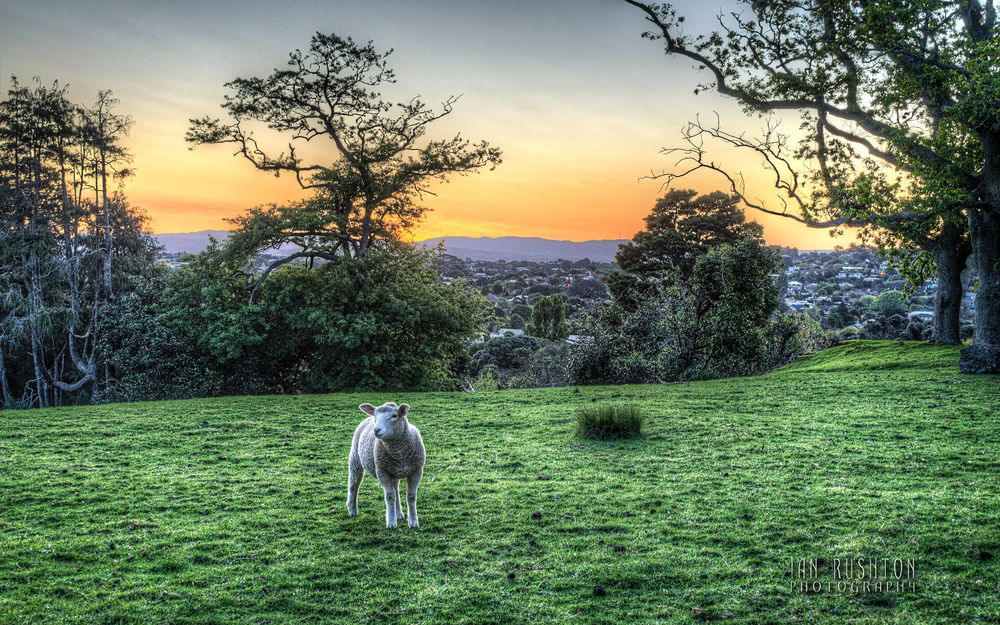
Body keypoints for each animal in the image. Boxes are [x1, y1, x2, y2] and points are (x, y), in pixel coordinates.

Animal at [346, 400, 424, 528]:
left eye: (394, 416)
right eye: (376, 415)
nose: (376, 430)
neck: (399, 454)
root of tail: (366, 419)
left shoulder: (416, 471)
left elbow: (411, 497)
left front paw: (413, 521)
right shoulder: (382, 472)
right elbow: (390, 497)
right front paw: (391, 522)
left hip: (394, 471)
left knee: (396, 490)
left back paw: (399, 514)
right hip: (355, 459)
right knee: (353, 485)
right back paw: (352, 510)